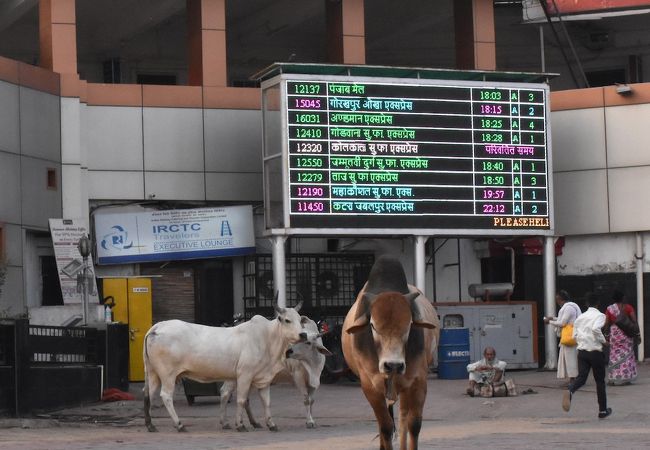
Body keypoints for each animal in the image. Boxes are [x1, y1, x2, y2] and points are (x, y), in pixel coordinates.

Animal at [143, 298, 306, 432]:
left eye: (300, 320)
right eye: (287, 320)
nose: (302, 335)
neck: (267, 338)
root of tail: (157, 327)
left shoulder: (263, 378)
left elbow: (266, 402)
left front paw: (271, 424)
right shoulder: (244, 375)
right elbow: (241, 399)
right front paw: (240, 425)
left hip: (152, 372)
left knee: (148, 393)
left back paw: (150, 425)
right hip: (168, 374)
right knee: (165, 395)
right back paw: (179, 425)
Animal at [342, 256, 438, 450]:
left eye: (409, 325)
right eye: (372, 325)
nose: (393, 365)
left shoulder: (418, 382)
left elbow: (414, 425)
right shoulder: (370, 386)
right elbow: (385, 426)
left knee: (403, 418)